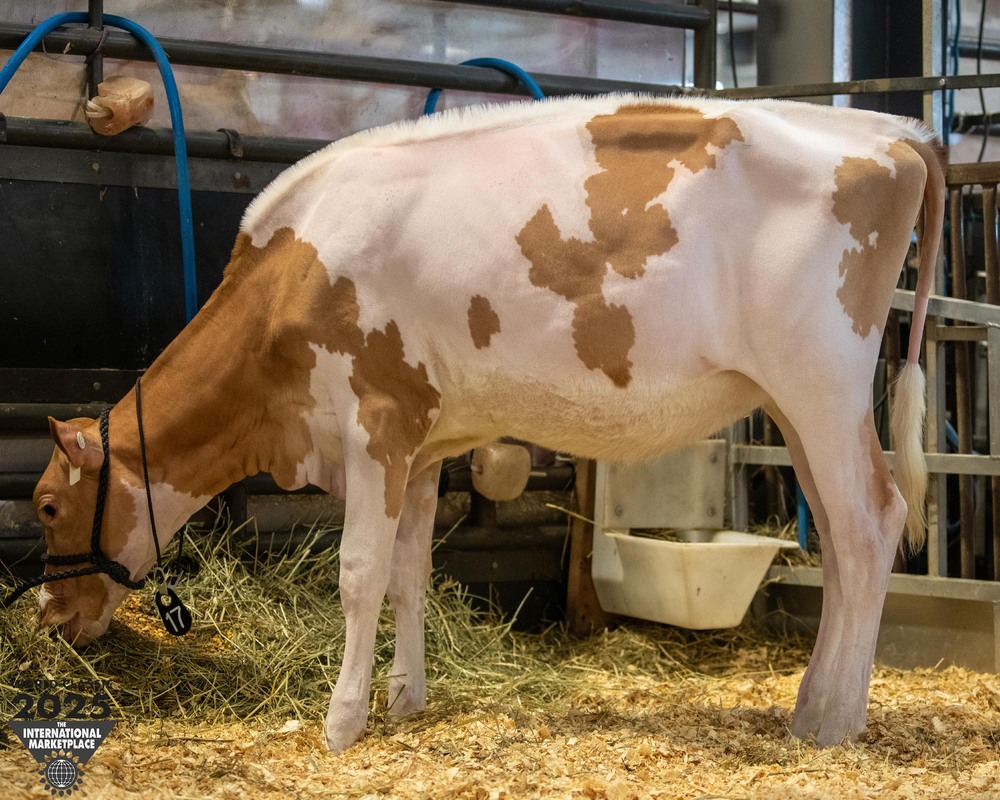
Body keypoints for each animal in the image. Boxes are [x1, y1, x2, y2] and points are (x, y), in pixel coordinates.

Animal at [24, 94, 943, 751]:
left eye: (47, 505)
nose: (48, 617)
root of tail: (893, 130)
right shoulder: (426, 441)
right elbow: (410, 572)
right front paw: (405, 699)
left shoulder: (376, 422)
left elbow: (359, 572)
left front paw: (341, 720)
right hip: (795, 406)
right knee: (838, 536)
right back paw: (811, 704)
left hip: (821, 383)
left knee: (872, 523)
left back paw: (834, 723)